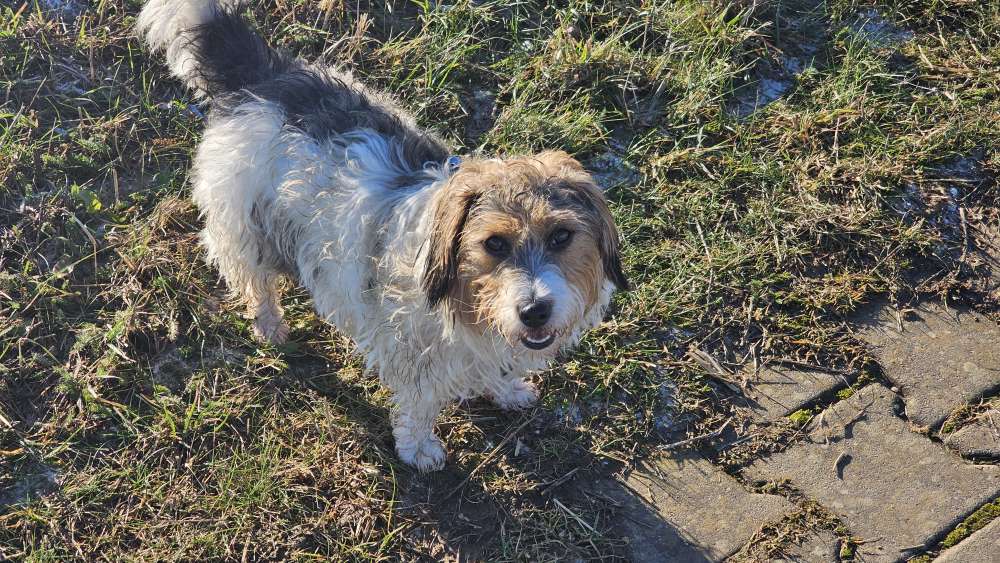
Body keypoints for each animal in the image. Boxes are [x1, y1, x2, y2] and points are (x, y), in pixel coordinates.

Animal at [137, 0, 628, 472]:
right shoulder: (411, 352)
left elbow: (497, 366)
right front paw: (419, 448)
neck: (458, 294)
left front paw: (506, 390)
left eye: (561, 236)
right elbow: (418, 405)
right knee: (255, 283)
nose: (534, 310)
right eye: (494, 244)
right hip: (244, 227)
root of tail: (261, 74)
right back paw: (270, 324)